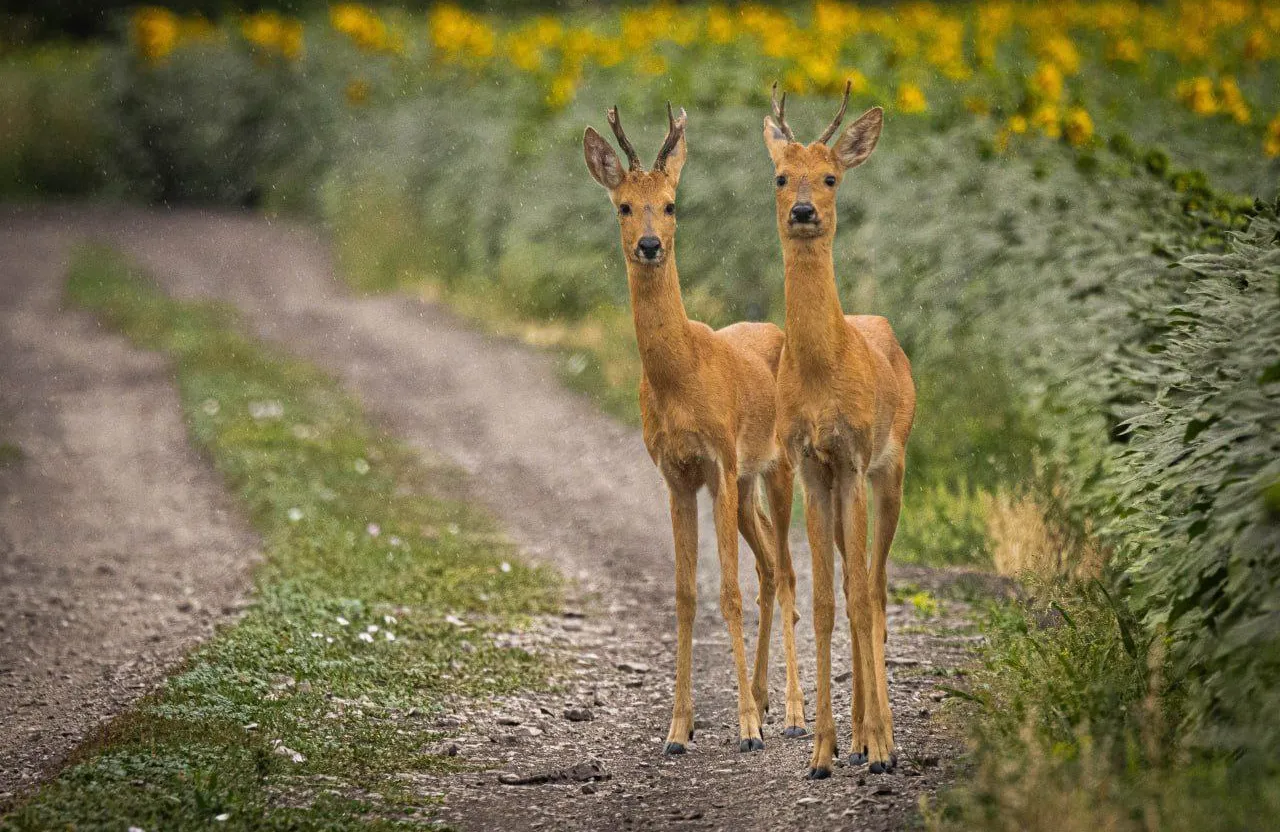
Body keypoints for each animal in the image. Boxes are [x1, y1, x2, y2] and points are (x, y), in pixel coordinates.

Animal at [583, 103, 803, 752]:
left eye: (671, 203)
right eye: (624, 206)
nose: (650, 245)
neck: (681, 377)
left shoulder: (720, 462)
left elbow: (725, 593)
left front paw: (748, 729)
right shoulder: (677, 475)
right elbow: (684, 595)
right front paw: (678, 728)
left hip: (777, 466)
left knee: (786, 572)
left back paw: (790, 714)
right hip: (747, 486)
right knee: (767, 567)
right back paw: (764, 696)